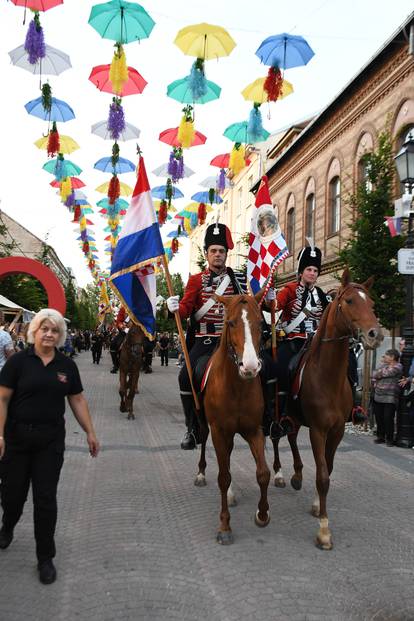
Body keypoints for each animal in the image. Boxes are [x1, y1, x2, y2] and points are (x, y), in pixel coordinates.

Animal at [197, 290, 272, 544]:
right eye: (230, 323)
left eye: (260, 323)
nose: (250, 367)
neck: (237, 386)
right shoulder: (219, 431)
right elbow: (223, 477)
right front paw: (225, 526)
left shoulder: (254, 430)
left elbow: (263, 473)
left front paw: (262, 514)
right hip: (207, 426)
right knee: (204, 444)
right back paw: (200, 474)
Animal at [272, 266, 382, 548]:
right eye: (350, 301)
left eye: (372, 304)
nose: (376, 335)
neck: (328, 376)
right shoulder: (318, 430)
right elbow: (322, 475)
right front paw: (324, 529)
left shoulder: (337, 430)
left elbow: (328, 470)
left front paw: (316, 507)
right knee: (277, 438)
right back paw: (279, 474)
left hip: (296, 417)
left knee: (290, 436)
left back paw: (297, 476)